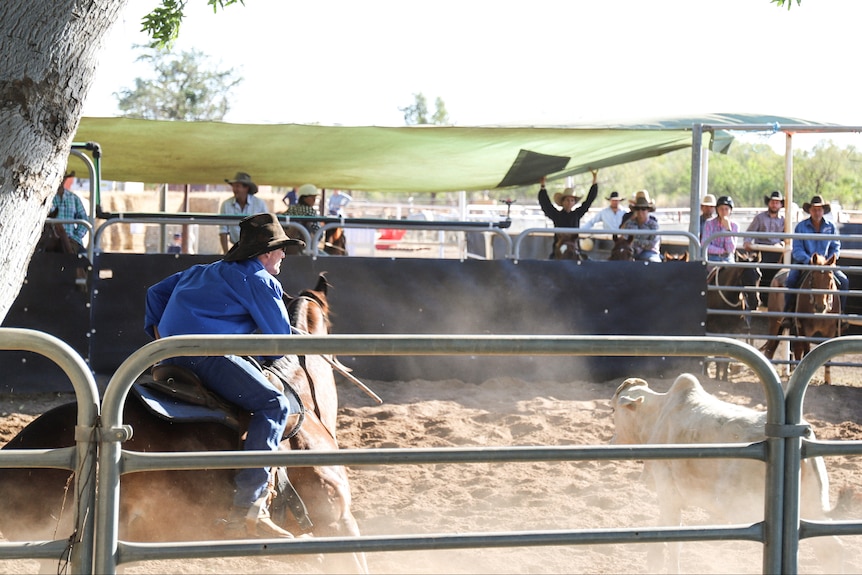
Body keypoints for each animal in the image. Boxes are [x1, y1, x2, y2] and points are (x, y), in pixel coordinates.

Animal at [616, 374, 844, 572]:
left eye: (612, 409)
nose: (612, 440)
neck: (658, 415)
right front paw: (653, 560)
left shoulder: (668, 494)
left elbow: (673, 540)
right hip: (813, 507)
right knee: (830, 548)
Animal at [764, 254, 844, 384]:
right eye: (812, 279)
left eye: (830, 280)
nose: (820, 307)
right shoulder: (806, 330)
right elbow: (807, 351)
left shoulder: (830, 331)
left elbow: (828, 354)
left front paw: (828, 380)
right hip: (774, 322)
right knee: (771, 347)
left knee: (796, 349)